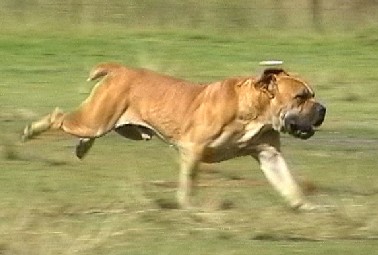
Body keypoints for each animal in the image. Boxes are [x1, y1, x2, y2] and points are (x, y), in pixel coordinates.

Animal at [22, 63, 326, 211]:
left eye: (312, 94)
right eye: (300, 97)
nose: (323, 108)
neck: (255, 111)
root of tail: (119, 69)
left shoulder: (269, 155)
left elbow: (289, 184)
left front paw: (305, 205)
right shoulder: (193, 149)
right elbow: (189, 182)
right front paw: (187, 205)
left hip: (105, 123)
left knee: (82, 132)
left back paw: (81, 150)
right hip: (93, 121)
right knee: (59, 117)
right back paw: (32, 131)